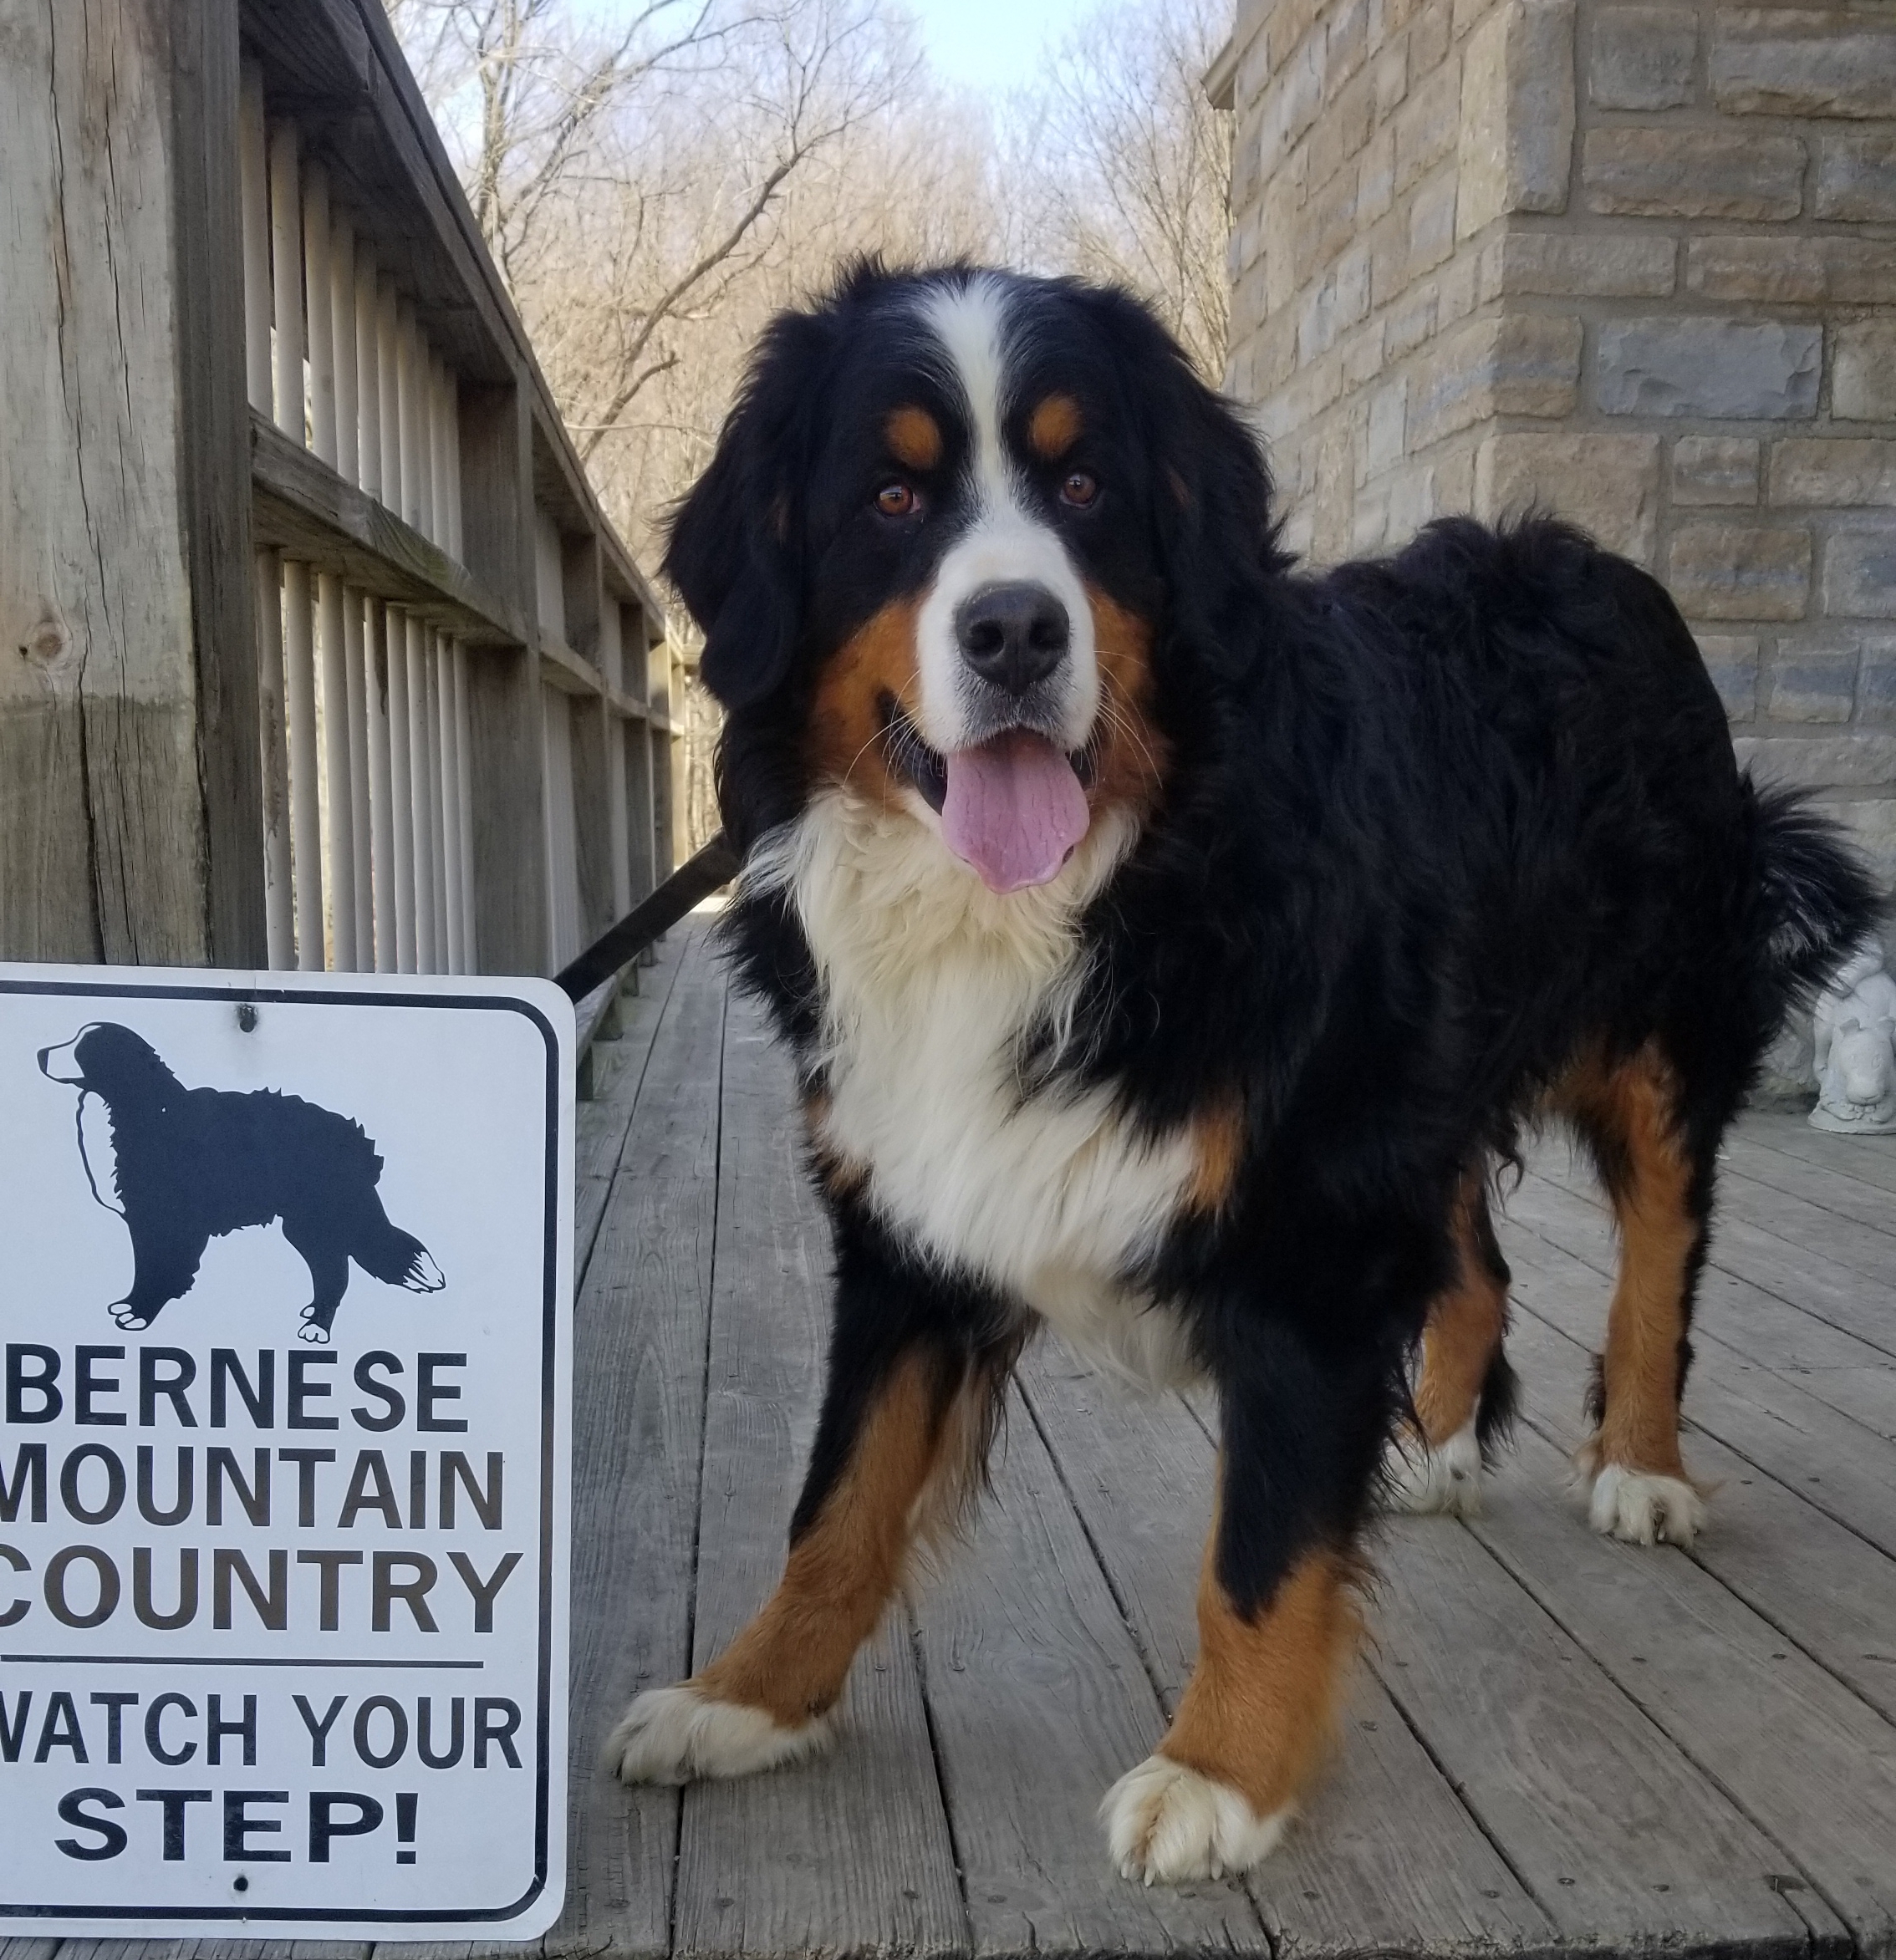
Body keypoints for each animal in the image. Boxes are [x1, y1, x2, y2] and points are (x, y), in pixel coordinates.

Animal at [604, 260, 1866, 1881]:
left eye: (1084, 483)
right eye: (888, 496)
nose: (1014, 630)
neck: (1063, 906)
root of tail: (1589, 560)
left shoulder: (1307, 1238)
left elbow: (1259, 1549)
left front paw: (1219, 1773)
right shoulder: (911, 1224)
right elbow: (839, 1499)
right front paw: (746, 1697)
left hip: (1645, 1025)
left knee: (1660, 1247)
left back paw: (1640, 1466)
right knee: (1477, 1268)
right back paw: (1436, 1449)